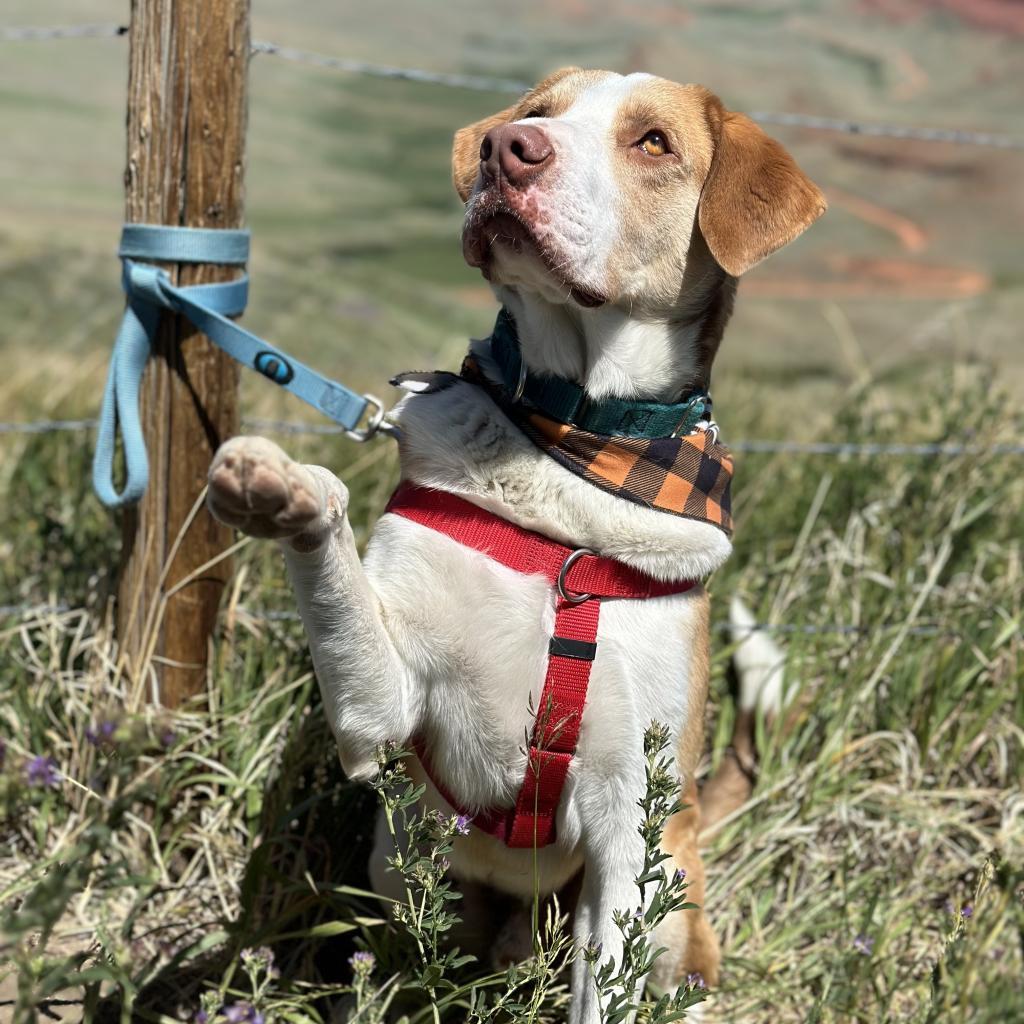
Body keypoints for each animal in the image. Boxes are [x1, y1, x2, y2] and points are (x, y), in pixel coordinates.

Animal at [207, 68, 823, 1019]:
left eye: (654, 142)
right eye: (538, 111)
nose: (509, 150)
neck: (572, 446)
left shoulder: (624, 832)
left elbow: (603, 993)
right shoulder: (381, 715)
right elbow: (338, 573)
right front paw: (283, 488)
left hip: (670, 882)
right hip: (403, 869)